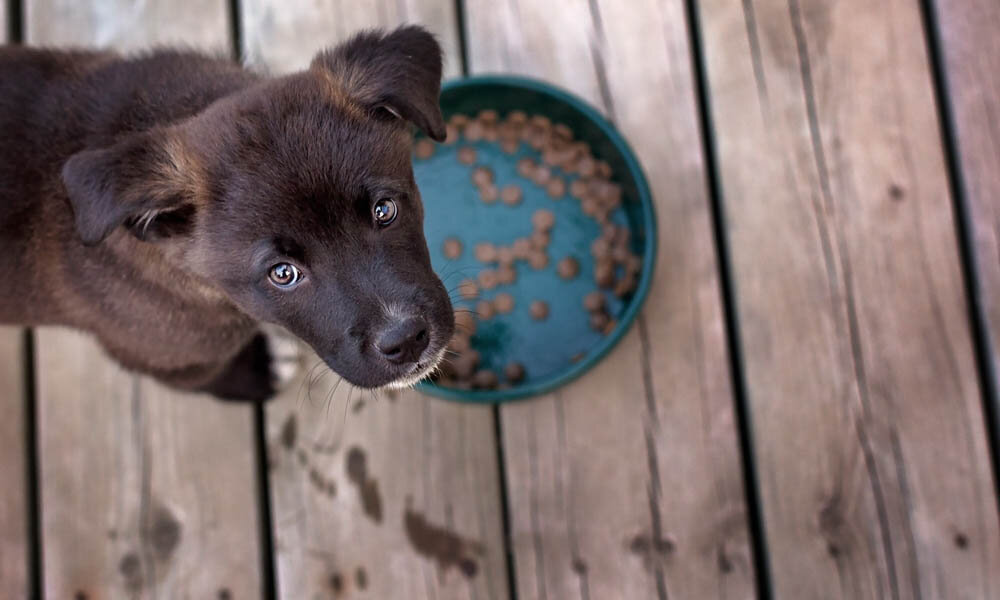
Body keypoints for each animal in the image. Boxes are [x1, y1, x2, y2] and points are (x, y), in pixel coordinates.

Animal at [0, 25, 458, 400]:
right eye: (282, 273)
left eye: (385, 210)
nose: (406, 339)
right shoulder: (156, 355)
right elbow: (206, 378)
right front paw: (260, 372)